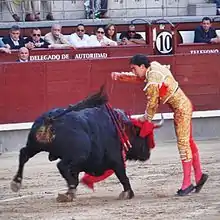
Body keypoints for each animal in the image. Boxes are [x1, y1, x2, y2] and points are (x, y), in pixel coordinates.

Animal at [10, 86, 163, 203]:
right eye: (143, 136)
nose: (147, 154)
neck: (120, 127)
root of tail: (50, 119)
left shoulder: (79, 165)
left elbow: (75, 175)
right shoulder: (117, 159)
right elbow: (123, 176)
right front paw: (128, 193)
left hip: (35, 145)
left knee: (24, 154)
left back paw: (17, 183)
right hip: (78, 154)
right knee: (61, 166)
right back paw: (70, 190)